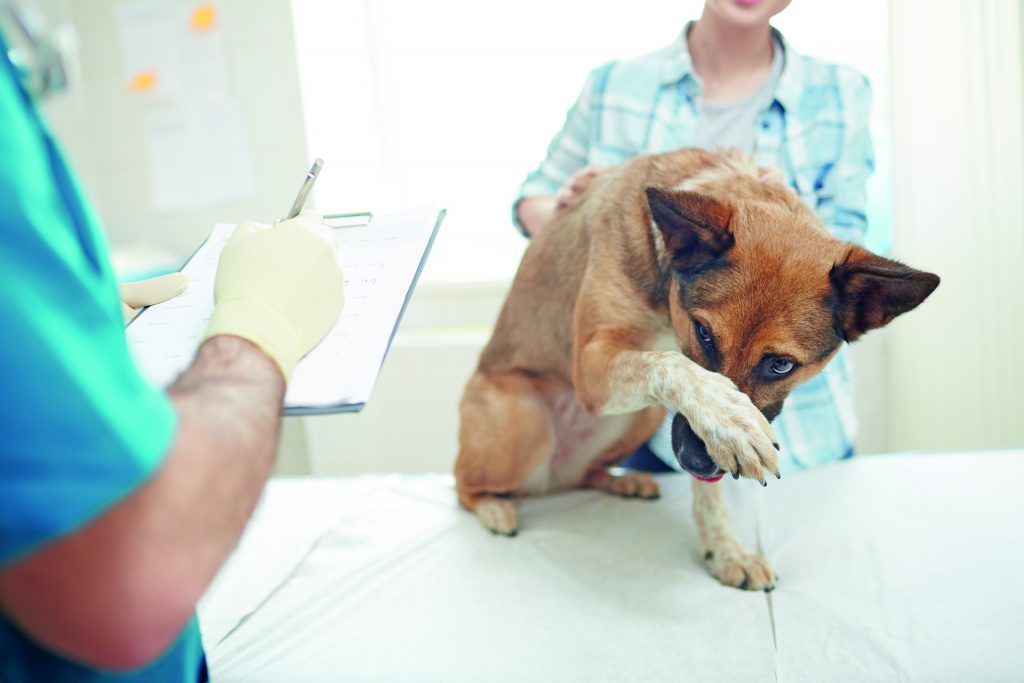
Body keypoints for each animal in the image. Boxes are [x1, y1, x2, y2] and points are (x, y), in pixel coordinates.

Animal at [456, 148, 937, 589]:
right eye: (704, 333)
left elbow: (711, 492)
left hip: (640, 416)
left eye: (782, 365)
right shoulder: (591, 368)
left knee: (584, 475)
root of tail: (552, 479)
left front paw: (726, 550)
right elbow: (672, 366)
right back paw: (494, 507)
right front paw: (729, 421)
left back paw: (619, 481)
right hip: (526, 422)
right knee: (462, 485)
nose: (693, 460)